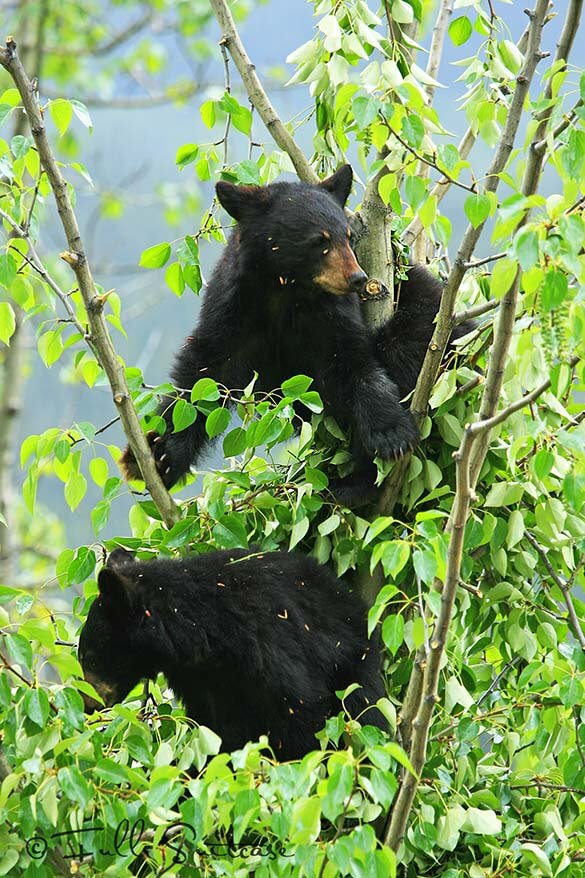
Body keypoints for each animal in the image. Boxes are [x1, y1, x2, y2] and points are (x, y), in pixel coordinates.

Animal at [78, 548, 388, 760]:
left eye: (90, 658)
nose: (87, 705)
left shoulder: (267, 651)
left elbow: (300, 711)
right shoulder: (201, 681)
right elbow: (215, 728)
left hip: (353, 660)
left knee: (365, 708)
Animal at [120, 166, 470, 506]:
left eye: (348, 236)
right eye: (320, 241)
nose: (357, 278)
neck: (284, 290)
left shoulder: (331, 315)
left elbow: (351, 361)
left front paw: (389, 432)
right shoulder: (233, 310)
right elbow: (203, 375)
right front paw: (157, 455)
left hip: (433, 322)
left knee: (402, 348)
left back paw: (352, 482)